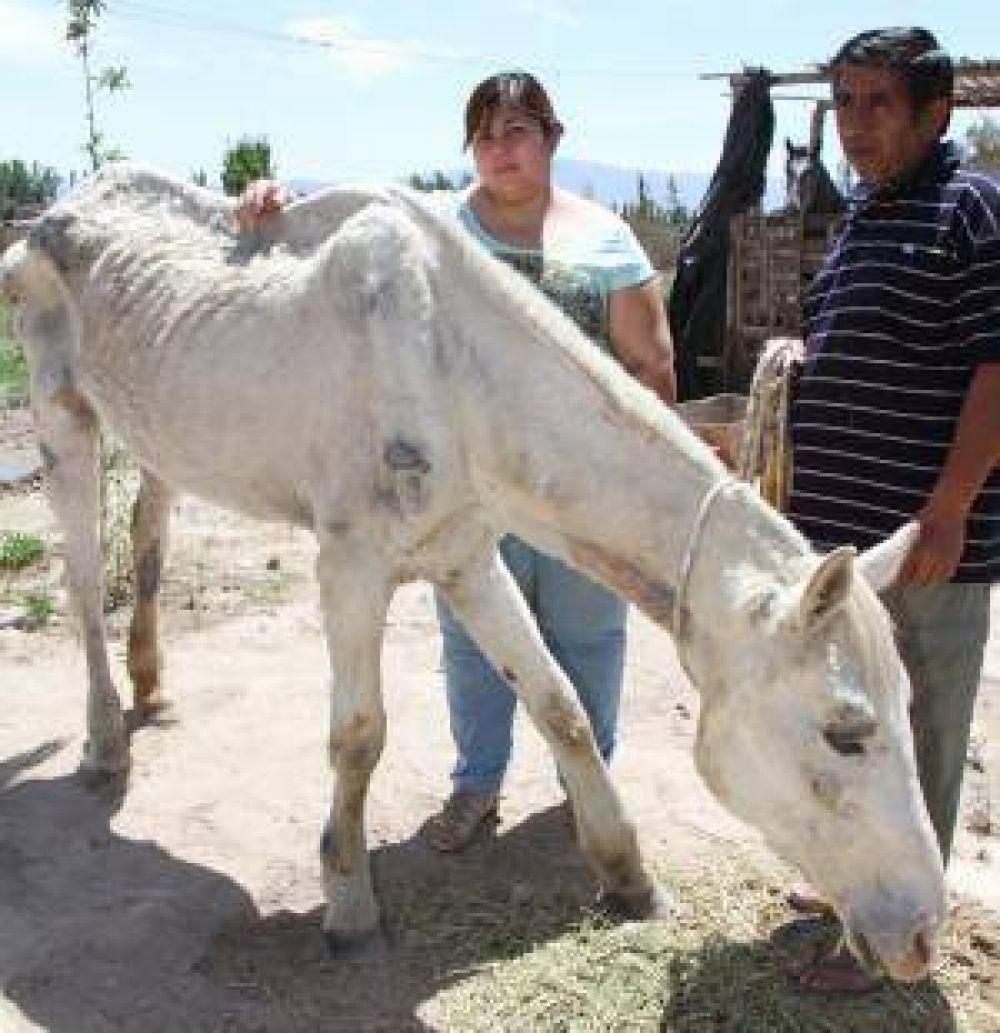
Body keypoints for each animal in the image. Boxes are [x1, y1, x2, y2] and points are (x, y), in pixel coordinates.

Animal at [0, 164, 943, 981]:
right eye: (845, 731)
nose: (923, 935)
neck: (450, 374)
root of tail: (61, 210)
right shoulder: (350, 569)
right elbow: (360, 735)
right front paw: (349, 906)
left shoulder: (466, 557)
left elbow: (560, 704)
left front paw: (627, 875)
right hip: (62, 417)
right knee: (83, 581)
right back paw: (105, 742)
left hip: (159, 432)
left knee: (147, 533)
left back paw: (153, 688)